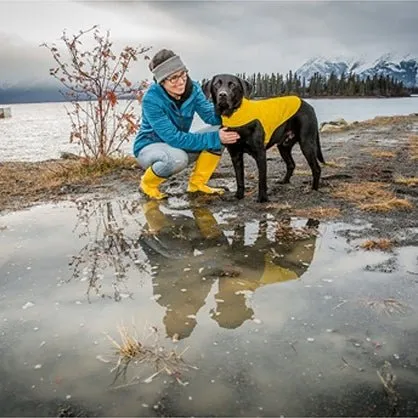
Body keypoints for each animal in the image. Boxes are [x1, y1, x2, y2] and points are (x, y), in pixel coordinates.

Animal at [204, 74, 324, 203]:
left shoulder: (260, 154)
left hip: (306, 143)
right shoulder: (235, 155)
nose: (223, 94)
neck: (234, 116)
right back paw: (284, 181)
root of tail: (309, 105)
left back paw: (314, 189)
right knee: (291, 164)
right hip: (283, 146)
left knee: (316, 168)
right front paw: (238, 196)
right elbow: (239, 178)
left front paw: (262, 198)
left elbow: (262, 179)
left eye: (233, 85)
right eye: (217, 84)